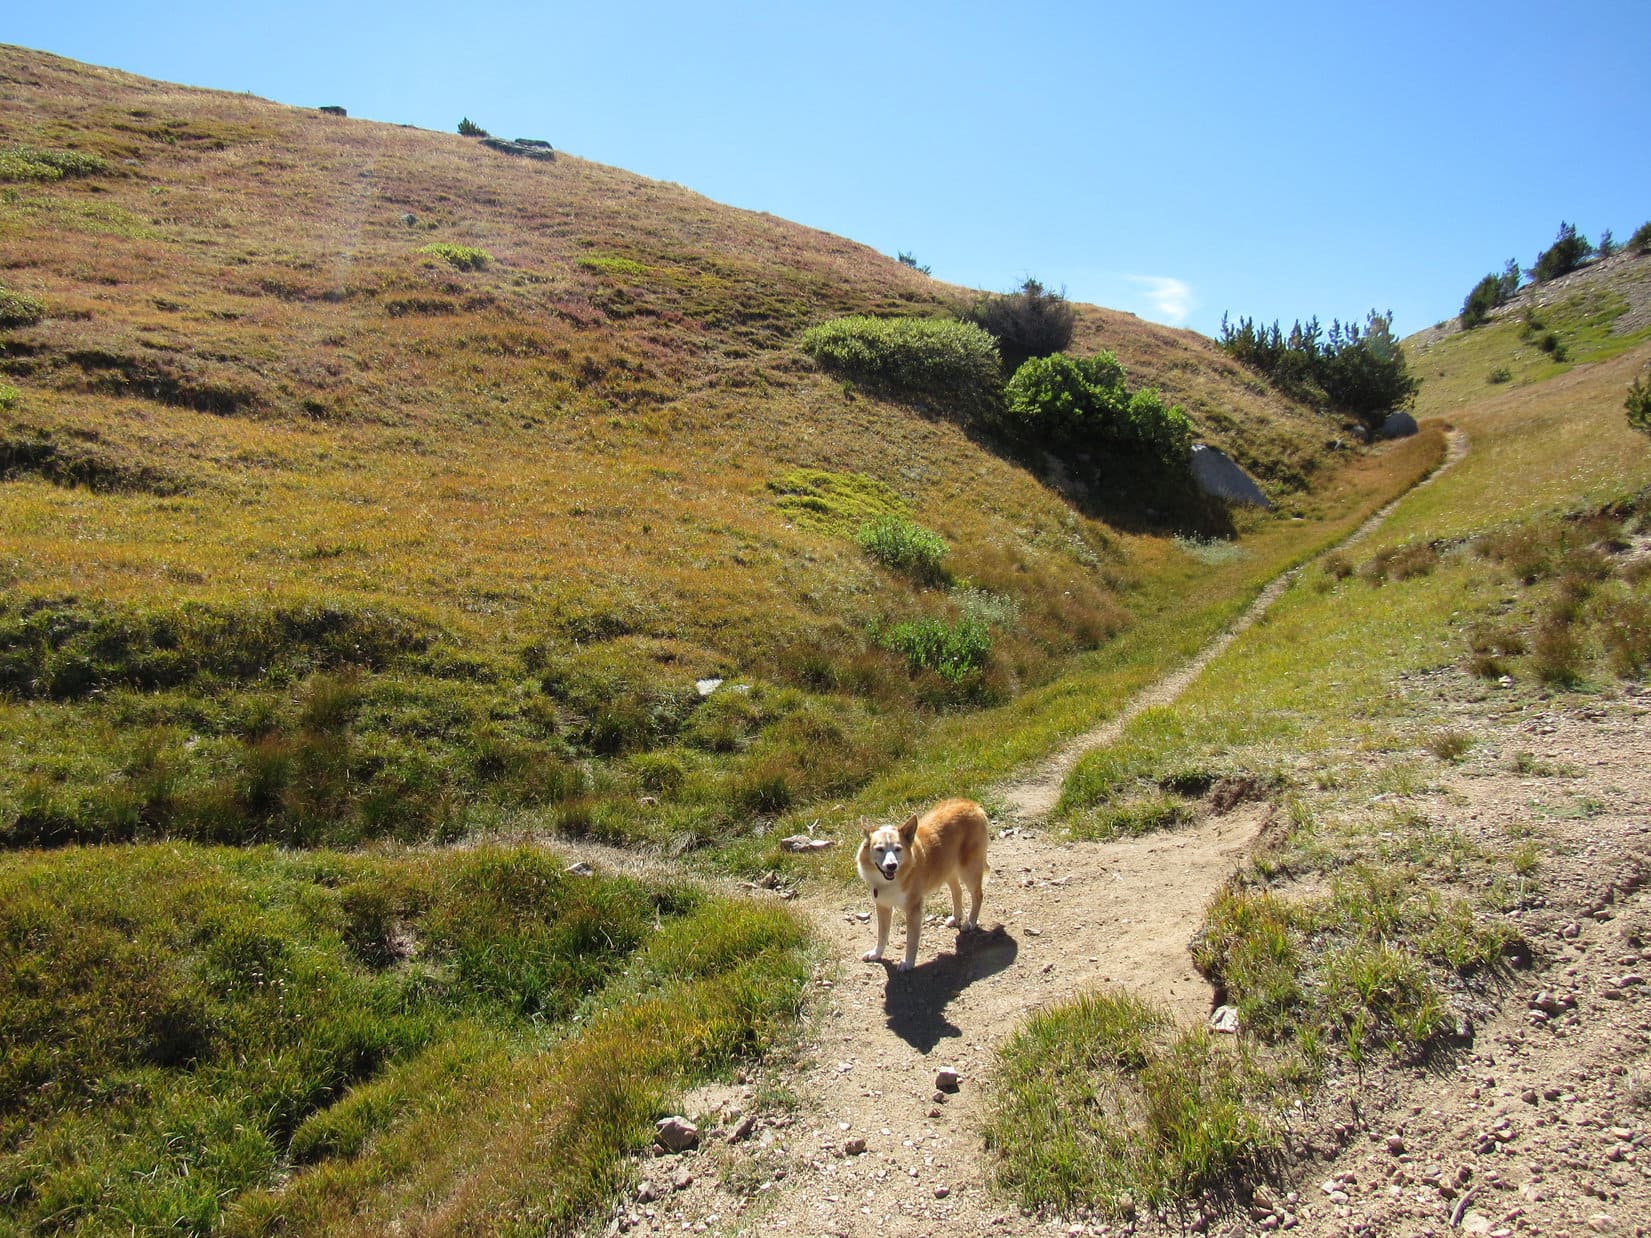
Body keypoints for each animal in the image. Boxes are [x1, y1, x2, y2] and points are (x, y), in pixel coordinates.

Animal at [857, 798, 988, 971]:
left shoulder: (914, 909)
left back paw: (971, 922)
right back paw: (956, 918)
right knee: (957, 892)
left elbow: (911, 940)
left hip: (969, 870)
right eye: (879, 849)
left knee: (978, 895)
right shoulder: (883, 906)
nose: (891, 866)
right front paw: (876, 954)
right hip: (947, 869)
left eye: (898, 849)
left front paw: (908, 962)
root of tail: (972, 804)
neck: (892, 879)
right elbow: (882, 935)